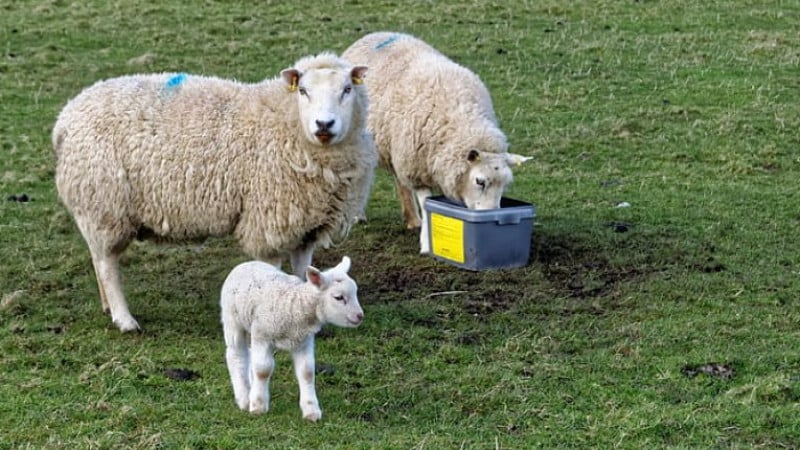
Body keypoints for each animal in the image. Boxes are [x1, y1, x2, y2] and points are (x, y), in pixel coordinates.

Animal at [54, 53, 378, 334]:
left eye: (347, 89)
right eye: (303, 91)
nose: (324, 125)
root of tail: (65, 117)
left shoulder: (305, 224)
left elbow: (302, 271)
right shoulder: (269, 222)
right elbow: (271, 269)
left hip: (96, 208)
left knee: (98, 258)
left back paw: (108, 307)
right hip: (104, 205)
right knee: (107, 265)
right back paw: (124, 319)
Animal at [222, 256, 366, 422]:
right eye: (339, 297)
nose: (360, 316)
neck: (295, 305)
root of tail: (246, 263)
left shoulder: (303, 341)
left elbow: (307, 372)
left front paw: (311, 411)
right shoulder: (262, 335)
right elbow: (262, 370)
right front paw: (258, 406)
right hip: (232, 320)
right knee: (236, 355)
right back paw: (245, 398)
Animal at [342, 32, 532, 253]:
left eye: (505, 184)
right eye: (480, 181)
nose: (491, 216)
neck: (461, 118)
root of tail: (374, 34)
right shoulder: (417, 169)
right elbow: (426, 205)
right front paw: (427, 244)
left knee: (400, 181)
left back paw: (412, 219)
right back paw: (357, 215)